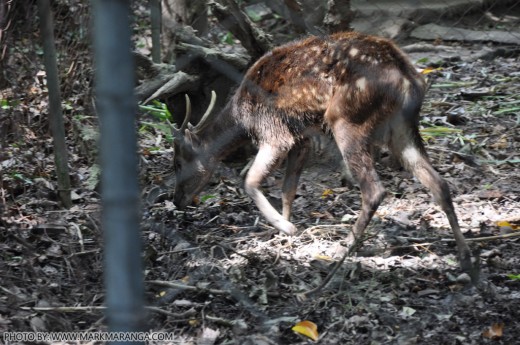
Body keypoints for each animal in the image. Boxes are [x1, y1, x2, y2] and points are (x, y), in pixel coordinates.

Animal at [172, 30, 480, 282]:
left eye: (179, 162)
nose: (176, 201)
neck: (242, 119)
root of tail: (409, 77)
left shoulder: (274, 132)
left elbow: (249, 180)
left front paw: (286, 227)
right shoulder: (302, 137)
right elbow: (288, 188)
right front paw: (283, 233)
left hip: (347, 118)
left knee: (374, 189)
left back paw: (341, 253)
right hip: (402, 127)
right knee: (438, 183)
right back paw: (465, 258)